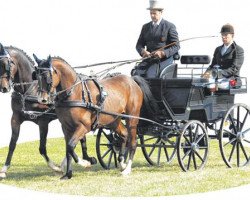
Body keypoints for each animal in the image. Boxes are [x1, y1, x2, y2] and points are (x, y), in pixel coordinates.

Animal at [0, 43, 95, 179]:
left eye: (6, 64)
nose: (4, 87)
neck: (28, 90)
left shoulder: (43, 121)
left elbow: (42, 148)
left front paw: (55, 168)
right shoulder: (16, 118)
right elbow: (12, 143)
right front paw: (4, 169)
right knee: (79, 138)